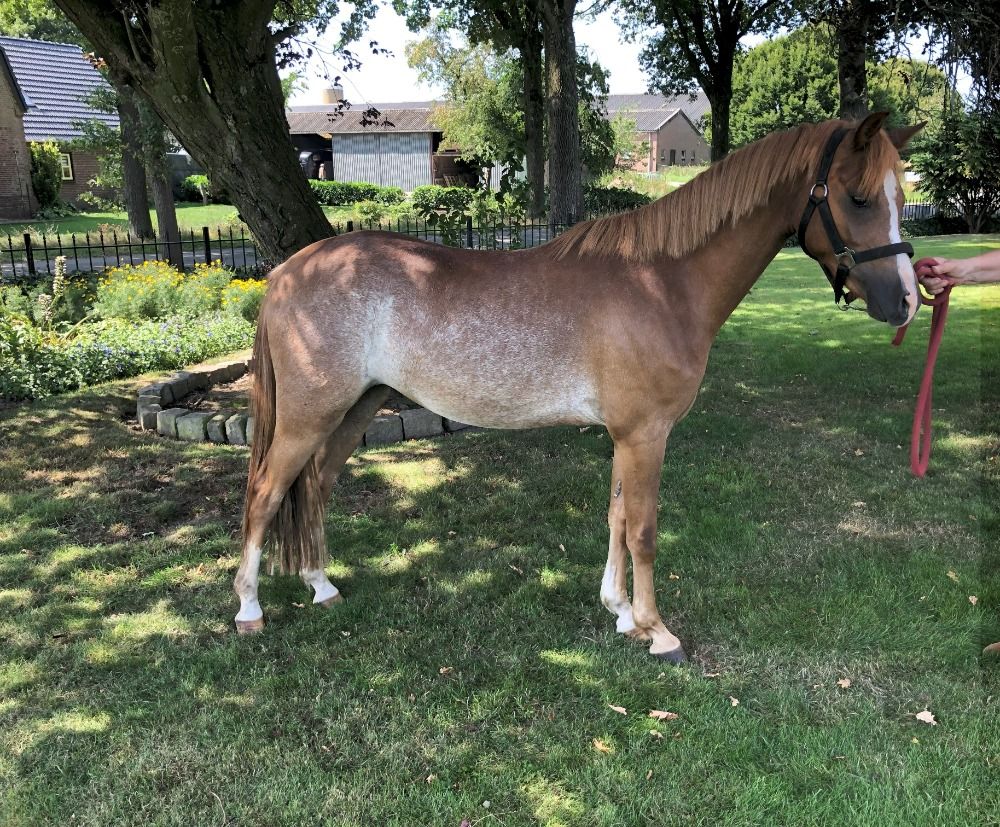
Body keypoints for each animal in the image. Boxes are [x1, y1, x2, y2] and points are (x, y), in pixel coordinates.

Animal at [234, 112, 923, 663]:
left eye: (898, 194)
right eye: (859, 198)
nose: (906, 302)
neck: (663, 281)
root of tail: (286, 272)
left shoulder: (626, 436)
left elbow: (616, 516)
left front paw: (620, 613)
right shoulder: (646, 435)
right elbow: (643, 528)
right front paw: (657, 630)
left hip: (356, 407)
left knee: (315, 484)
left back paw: (322, 584)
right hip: (309, 414)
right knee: (266, 493)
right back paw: (249, 609)